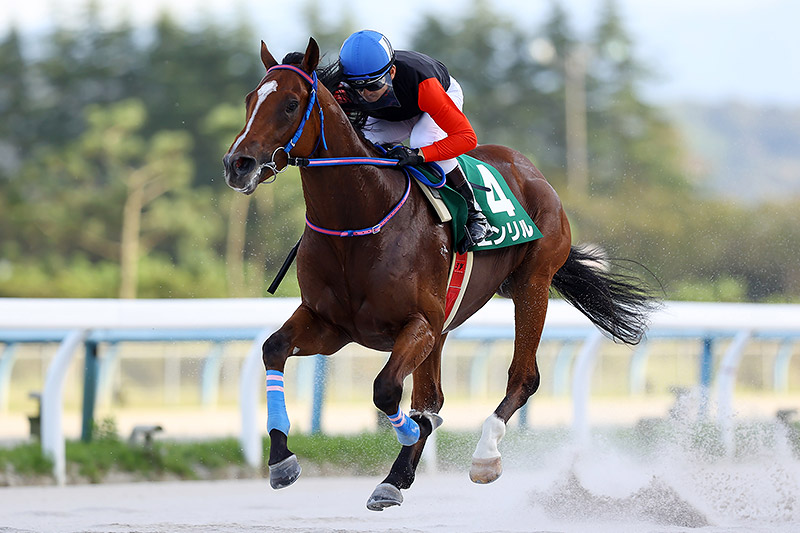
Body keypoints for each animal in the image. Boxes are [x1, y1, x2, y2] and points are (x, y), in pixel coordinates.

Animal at [222, 38, 652, 512]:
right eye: (250, 100)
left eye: (290, 104)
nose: (238, 164)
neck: (359, 218)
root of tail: (530, 170)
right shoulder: (331, 324)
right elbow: (274, 349)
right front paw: (281, 459)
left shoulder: (419, 324)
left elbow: (386, 389)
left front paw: (412, 432)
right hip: (448, 322)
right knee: (433, 395)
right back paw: (397, 476)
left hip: (531, 283)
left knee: (522, 377)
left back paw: (483, 455)